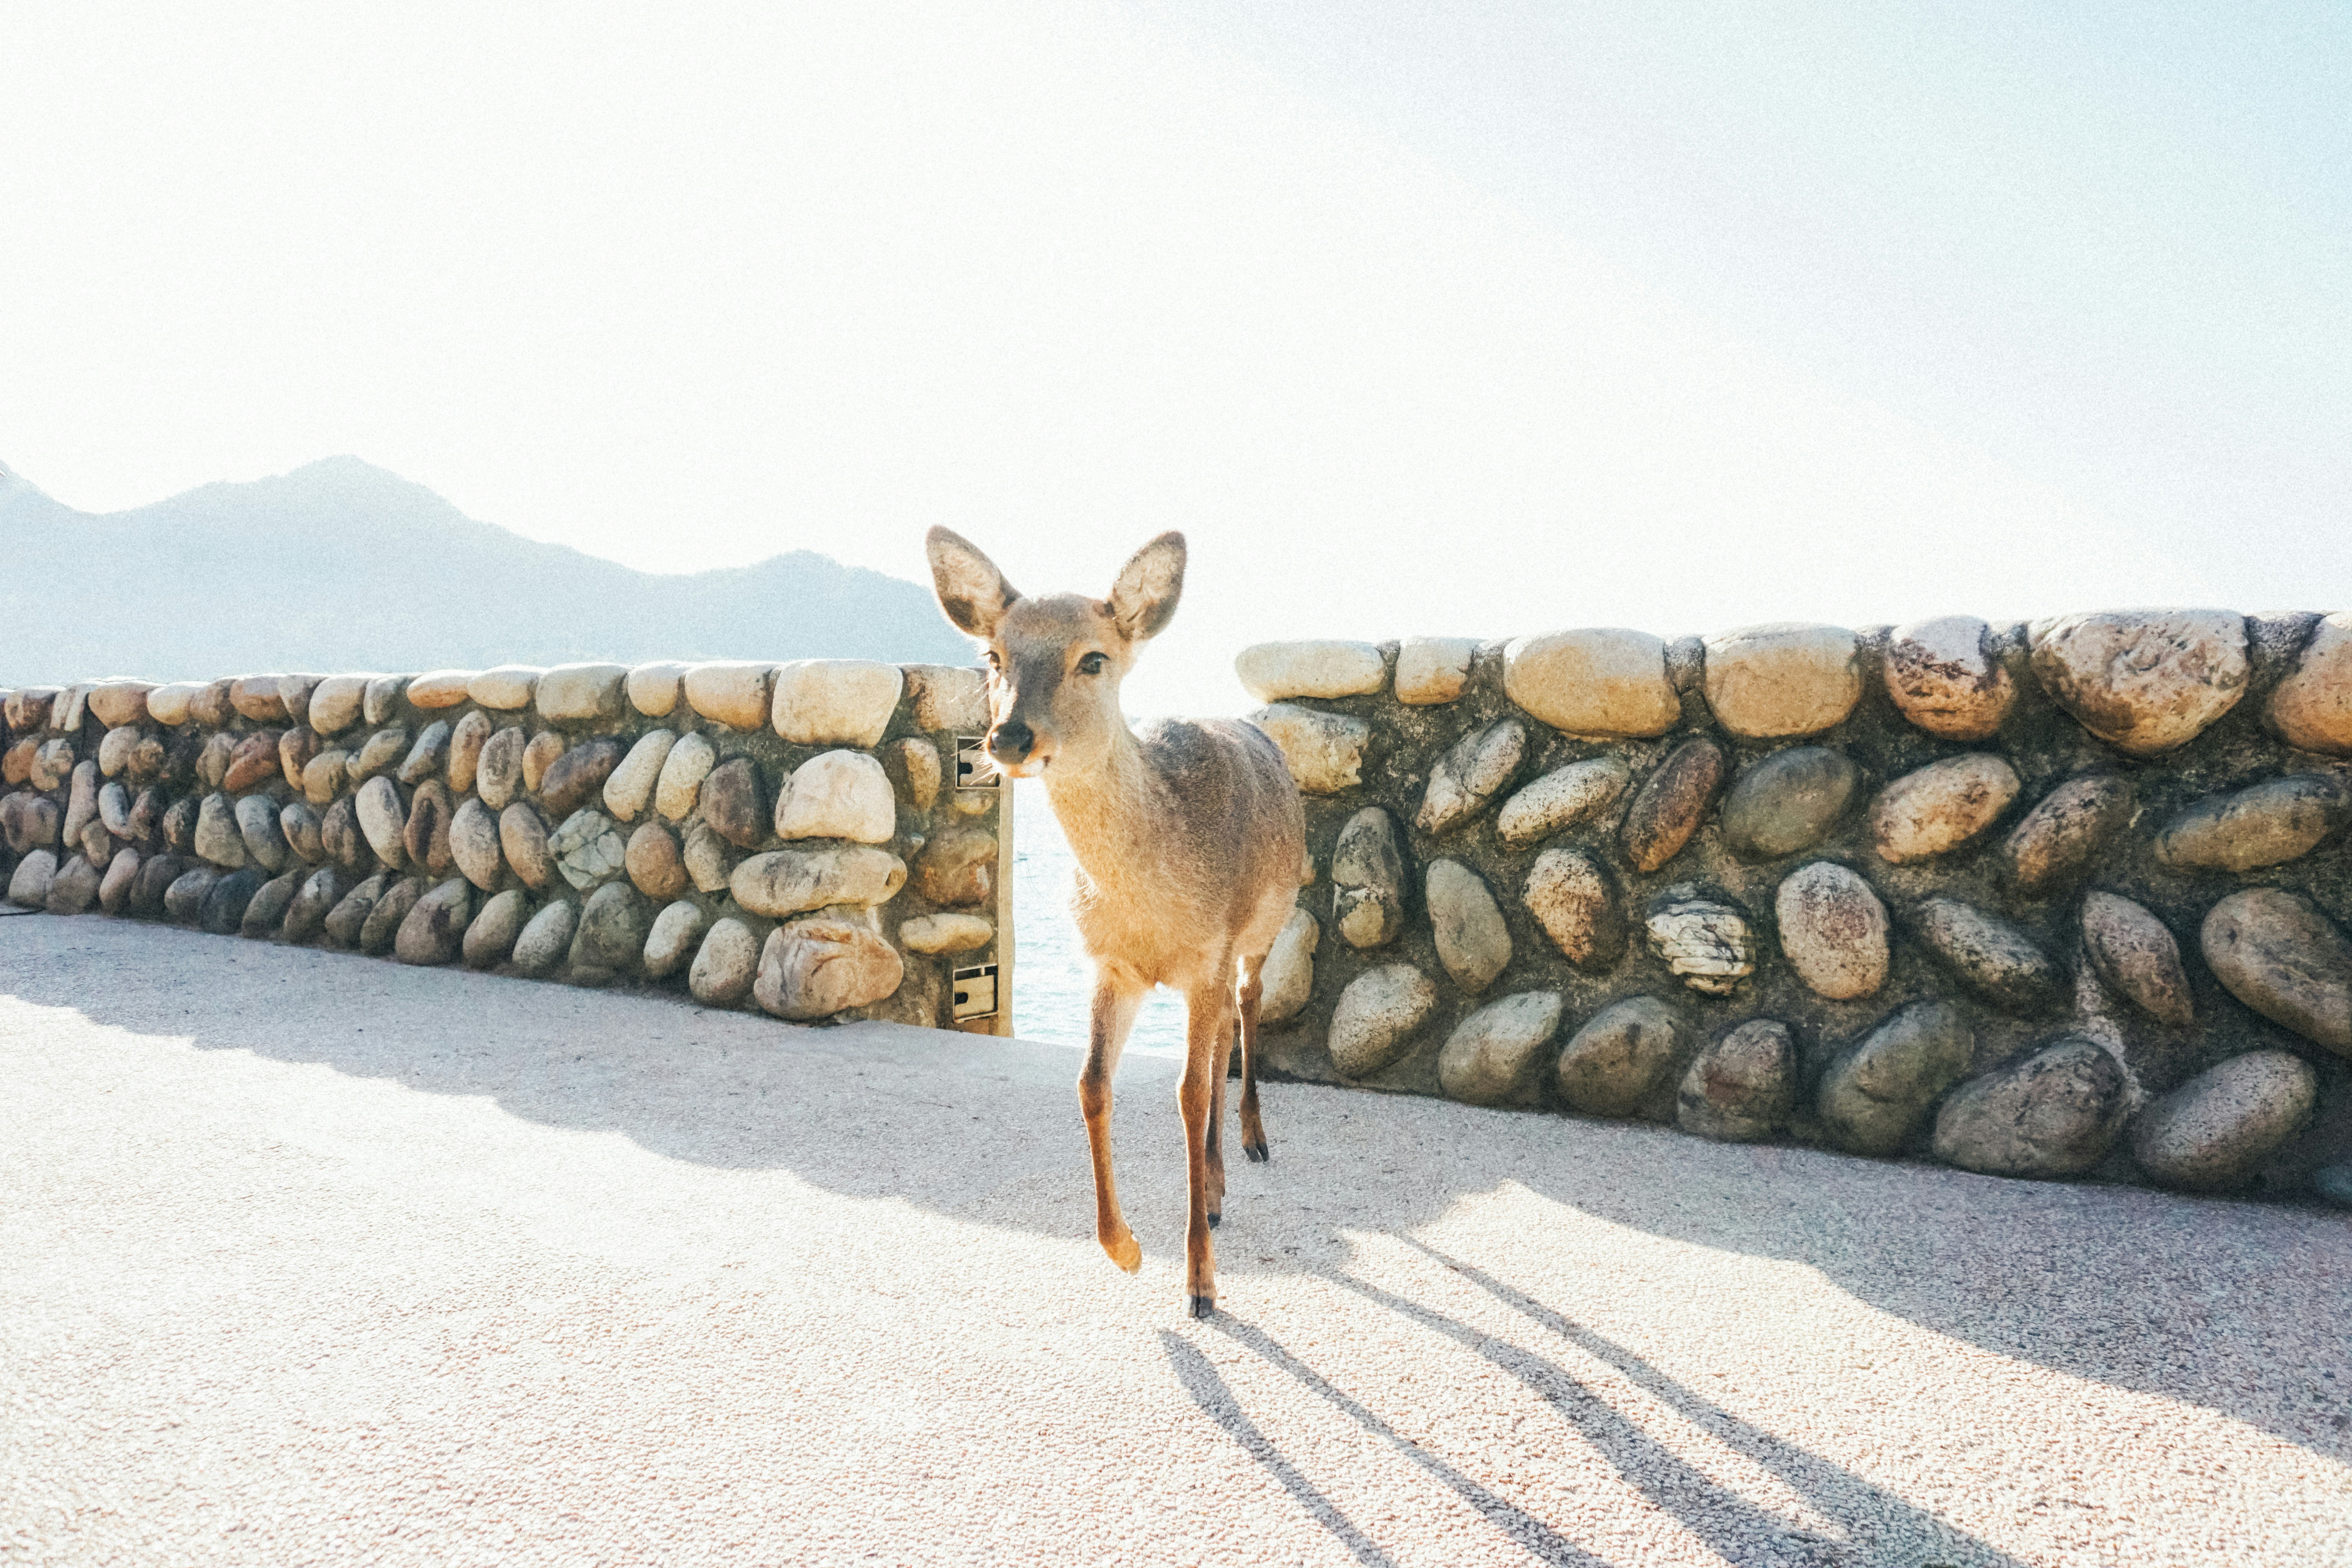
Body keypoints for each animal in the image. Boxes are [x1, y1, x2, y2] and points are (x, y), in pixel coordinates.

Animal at [926, 526, 1306, 1319]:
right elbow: (1092, 1084)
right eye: (993, 657)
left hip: (1267, 926)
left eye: (1093, 658)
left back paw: (1251, 1143)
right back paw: (1216, 1184)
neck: (1151, 911)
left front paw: (1201, 1284)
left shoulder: (1209, 951)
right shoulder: (1109, 965)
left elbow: (1188, 1094)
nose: (1008, 738)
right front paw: (1124, 1247)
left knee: (1246, 1010)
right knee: (1221, 1036)